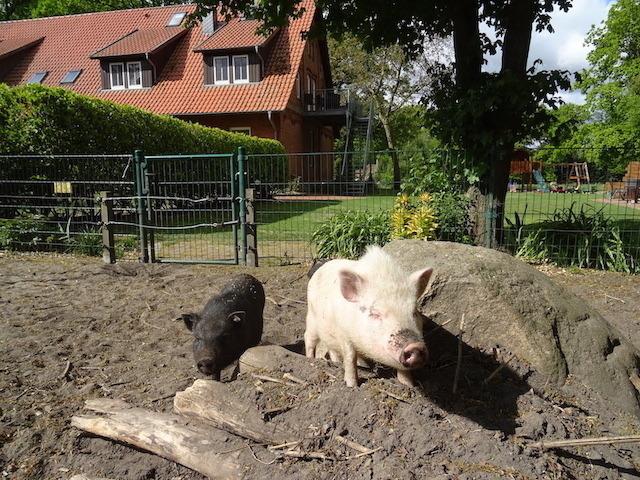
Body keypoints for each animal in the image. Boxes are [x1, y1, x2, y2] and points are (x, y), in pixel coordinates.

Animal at [305, 246, 433, 387]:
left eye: (414, 312)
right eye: (375, 313)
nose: (414, 346)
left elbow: (404, 371)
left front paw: (408, 386)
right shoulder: (344, 334)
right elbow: (350, 358)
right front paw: (352, 385)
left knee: (332, 349)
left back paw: (336, 363)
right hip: (311, 319)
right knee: (308, 338)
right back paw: (309, 359)